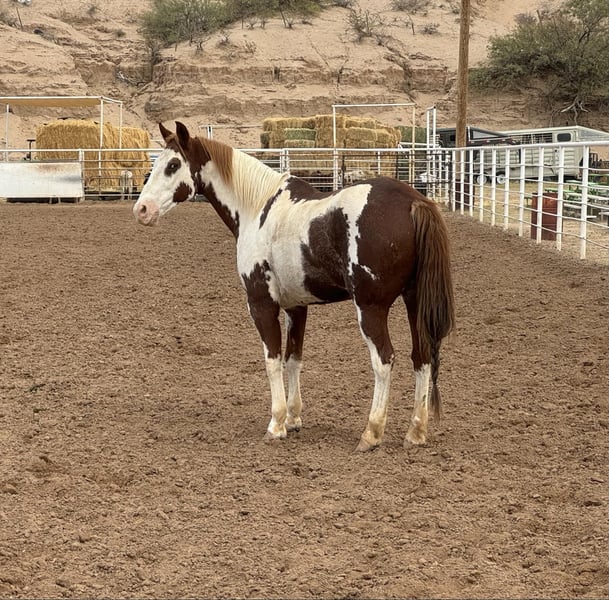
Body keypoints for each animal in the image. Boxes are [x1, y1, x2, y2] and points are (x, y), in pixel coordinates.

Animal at [133, 122, 455, 451]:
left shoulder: (261, 304)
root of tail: (414, 201)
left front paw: (276, 424)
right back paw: (416, 432)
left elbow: (273, 360)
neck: (257, 210)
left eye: (173, 165)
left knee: (384, 360)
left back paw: (371, 433)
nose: (142, 209)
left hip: (371, 308)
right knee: (422, 356)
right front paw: (293, 417)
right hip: (414, 301)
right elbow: (293, 360)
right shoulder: (296, 307)